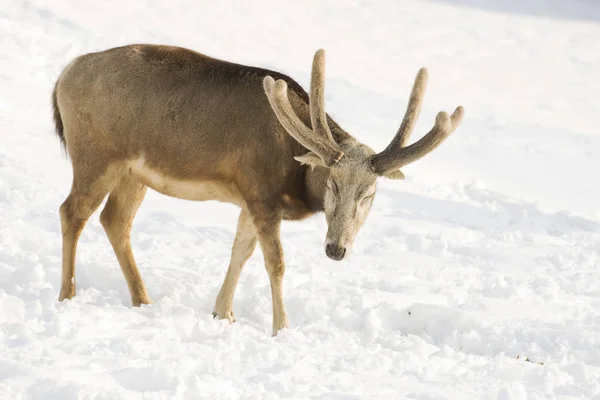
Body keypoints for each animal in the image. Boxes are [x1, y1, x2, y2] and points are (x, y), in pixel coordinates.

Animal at [51, 44, 464, 334]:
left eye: (369, 195)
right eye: (331, 183)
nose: (336, 249)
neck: (296, 169)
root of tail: (63, 76)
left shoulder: (249, 199)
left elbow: (240, 252)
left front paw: (223, 313)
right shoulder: (261, 191)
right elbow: (275, 262)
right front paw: (281, 328)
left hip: (134, 173)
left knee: (114, 221)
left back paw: (143, 299)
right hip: (96, 154)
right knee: (72, 212)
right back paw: (67, 294)